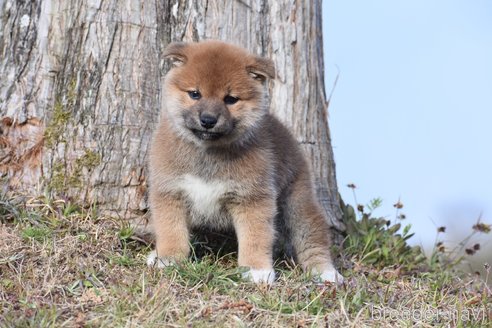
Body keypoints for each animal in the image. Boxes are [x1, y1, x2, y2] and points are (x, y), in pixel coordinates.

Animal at [148, 39, 344, 284]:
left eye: (230, 99)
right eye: (195, 94)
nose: (208, 120)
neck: (208, 154)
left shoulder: (253, 199)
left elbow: (255, 237)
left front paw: (256, 269)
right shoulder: (170, 191)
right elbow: (171, 231)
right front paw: (168, 258)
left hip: (297, 202)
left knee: (313, 238)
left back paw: (325, 272)